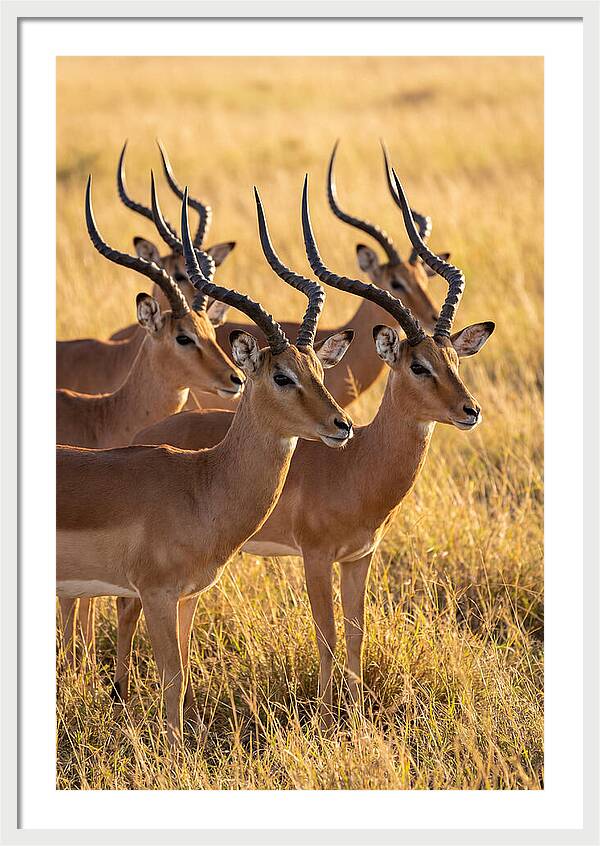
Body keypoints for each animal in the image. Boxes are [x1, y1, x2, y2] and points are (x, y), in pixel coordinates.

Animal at [56, 187, 355, 744]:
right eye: (281, 375)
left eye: (318, 369)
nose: (341, 425)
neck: (201, 485)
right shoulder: (154, 594)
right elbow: (171, 678)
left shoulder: (188, 596)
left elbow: (185, 669)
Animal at [125, 170, 494, 726]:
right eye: (417, 365)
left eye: (453, 359)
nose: (469, 410)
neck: (358, 464)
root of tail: (144, 436)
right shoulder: (315, 557)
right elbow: (327, 636)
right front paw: (325, 716)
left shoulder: (360, 557)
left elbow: (358, 634)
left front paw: (357, 715)